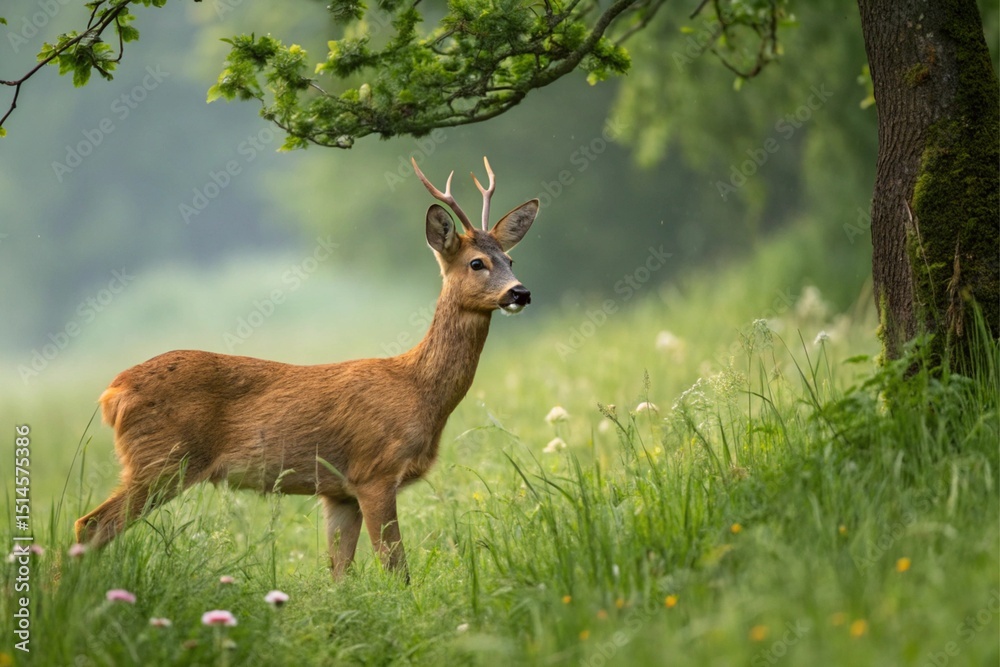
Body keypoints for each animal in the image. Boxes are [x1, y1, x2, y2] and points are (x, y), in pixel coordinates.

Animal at [74, 157, 539, 582]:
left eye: (510, 259)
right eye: (477, 263)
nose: (521, 292)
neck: (419, 390)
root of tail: (112, 393)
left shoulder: (338, 491)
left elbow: (339, 574)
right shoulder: (374, 471)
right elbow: (396, 569)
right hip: (162, 460)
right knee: (91, 525)